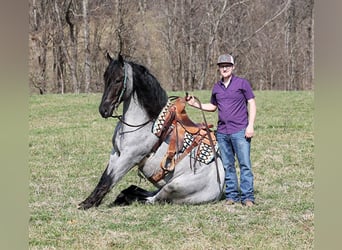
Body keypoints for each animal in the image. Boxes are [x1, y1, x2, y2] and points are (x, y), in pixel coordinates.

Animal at [78, 53, 226, 209]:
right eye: (105, 78)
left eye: (118, 80)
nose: (104, 110)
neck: (142, 123)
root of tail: (219, 187)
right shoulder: (116, 154)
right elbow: (105, 178)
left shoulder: (129, 158)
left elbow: (108, 180)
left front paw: (88, 203)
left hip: (171, 188)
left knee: (152, 199)